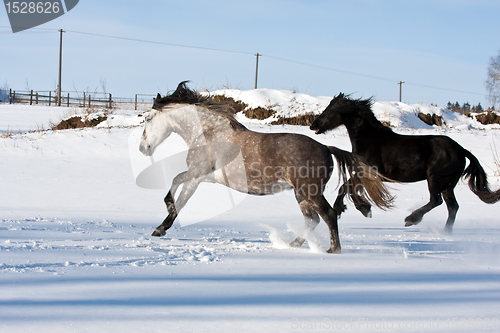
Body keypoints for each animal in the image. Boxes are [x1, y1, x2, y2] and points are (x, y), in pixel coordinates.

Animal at [139, 81, 392, 253]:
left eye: (148, 119)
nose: (143, 148)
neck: (210, 133)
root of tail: (326, 148)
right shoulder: (203, 177)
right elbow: (177, 187)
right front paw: (164, 219)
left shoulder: (197, 174)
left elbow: (178, 194)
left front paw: (162, 225)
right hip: (301, 194)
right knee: (312, 220)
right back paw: (292, 244)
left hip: (309, 191)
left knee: (328, 215)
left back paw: (332, 249)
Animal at [310, 92, 498, 232]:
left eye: (330, 109)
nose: (313, 125)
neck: (370, 139)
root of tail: (461, 149)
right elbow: (348, 187)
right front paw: (362, 209)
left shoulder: (372, 174)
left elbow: (346, 187)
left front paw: (351, 209)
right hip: (448, 184)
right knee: (452, 207)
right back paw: (445, 231)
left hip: (435, 179)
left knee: (436, 201)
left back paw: (411, 219)